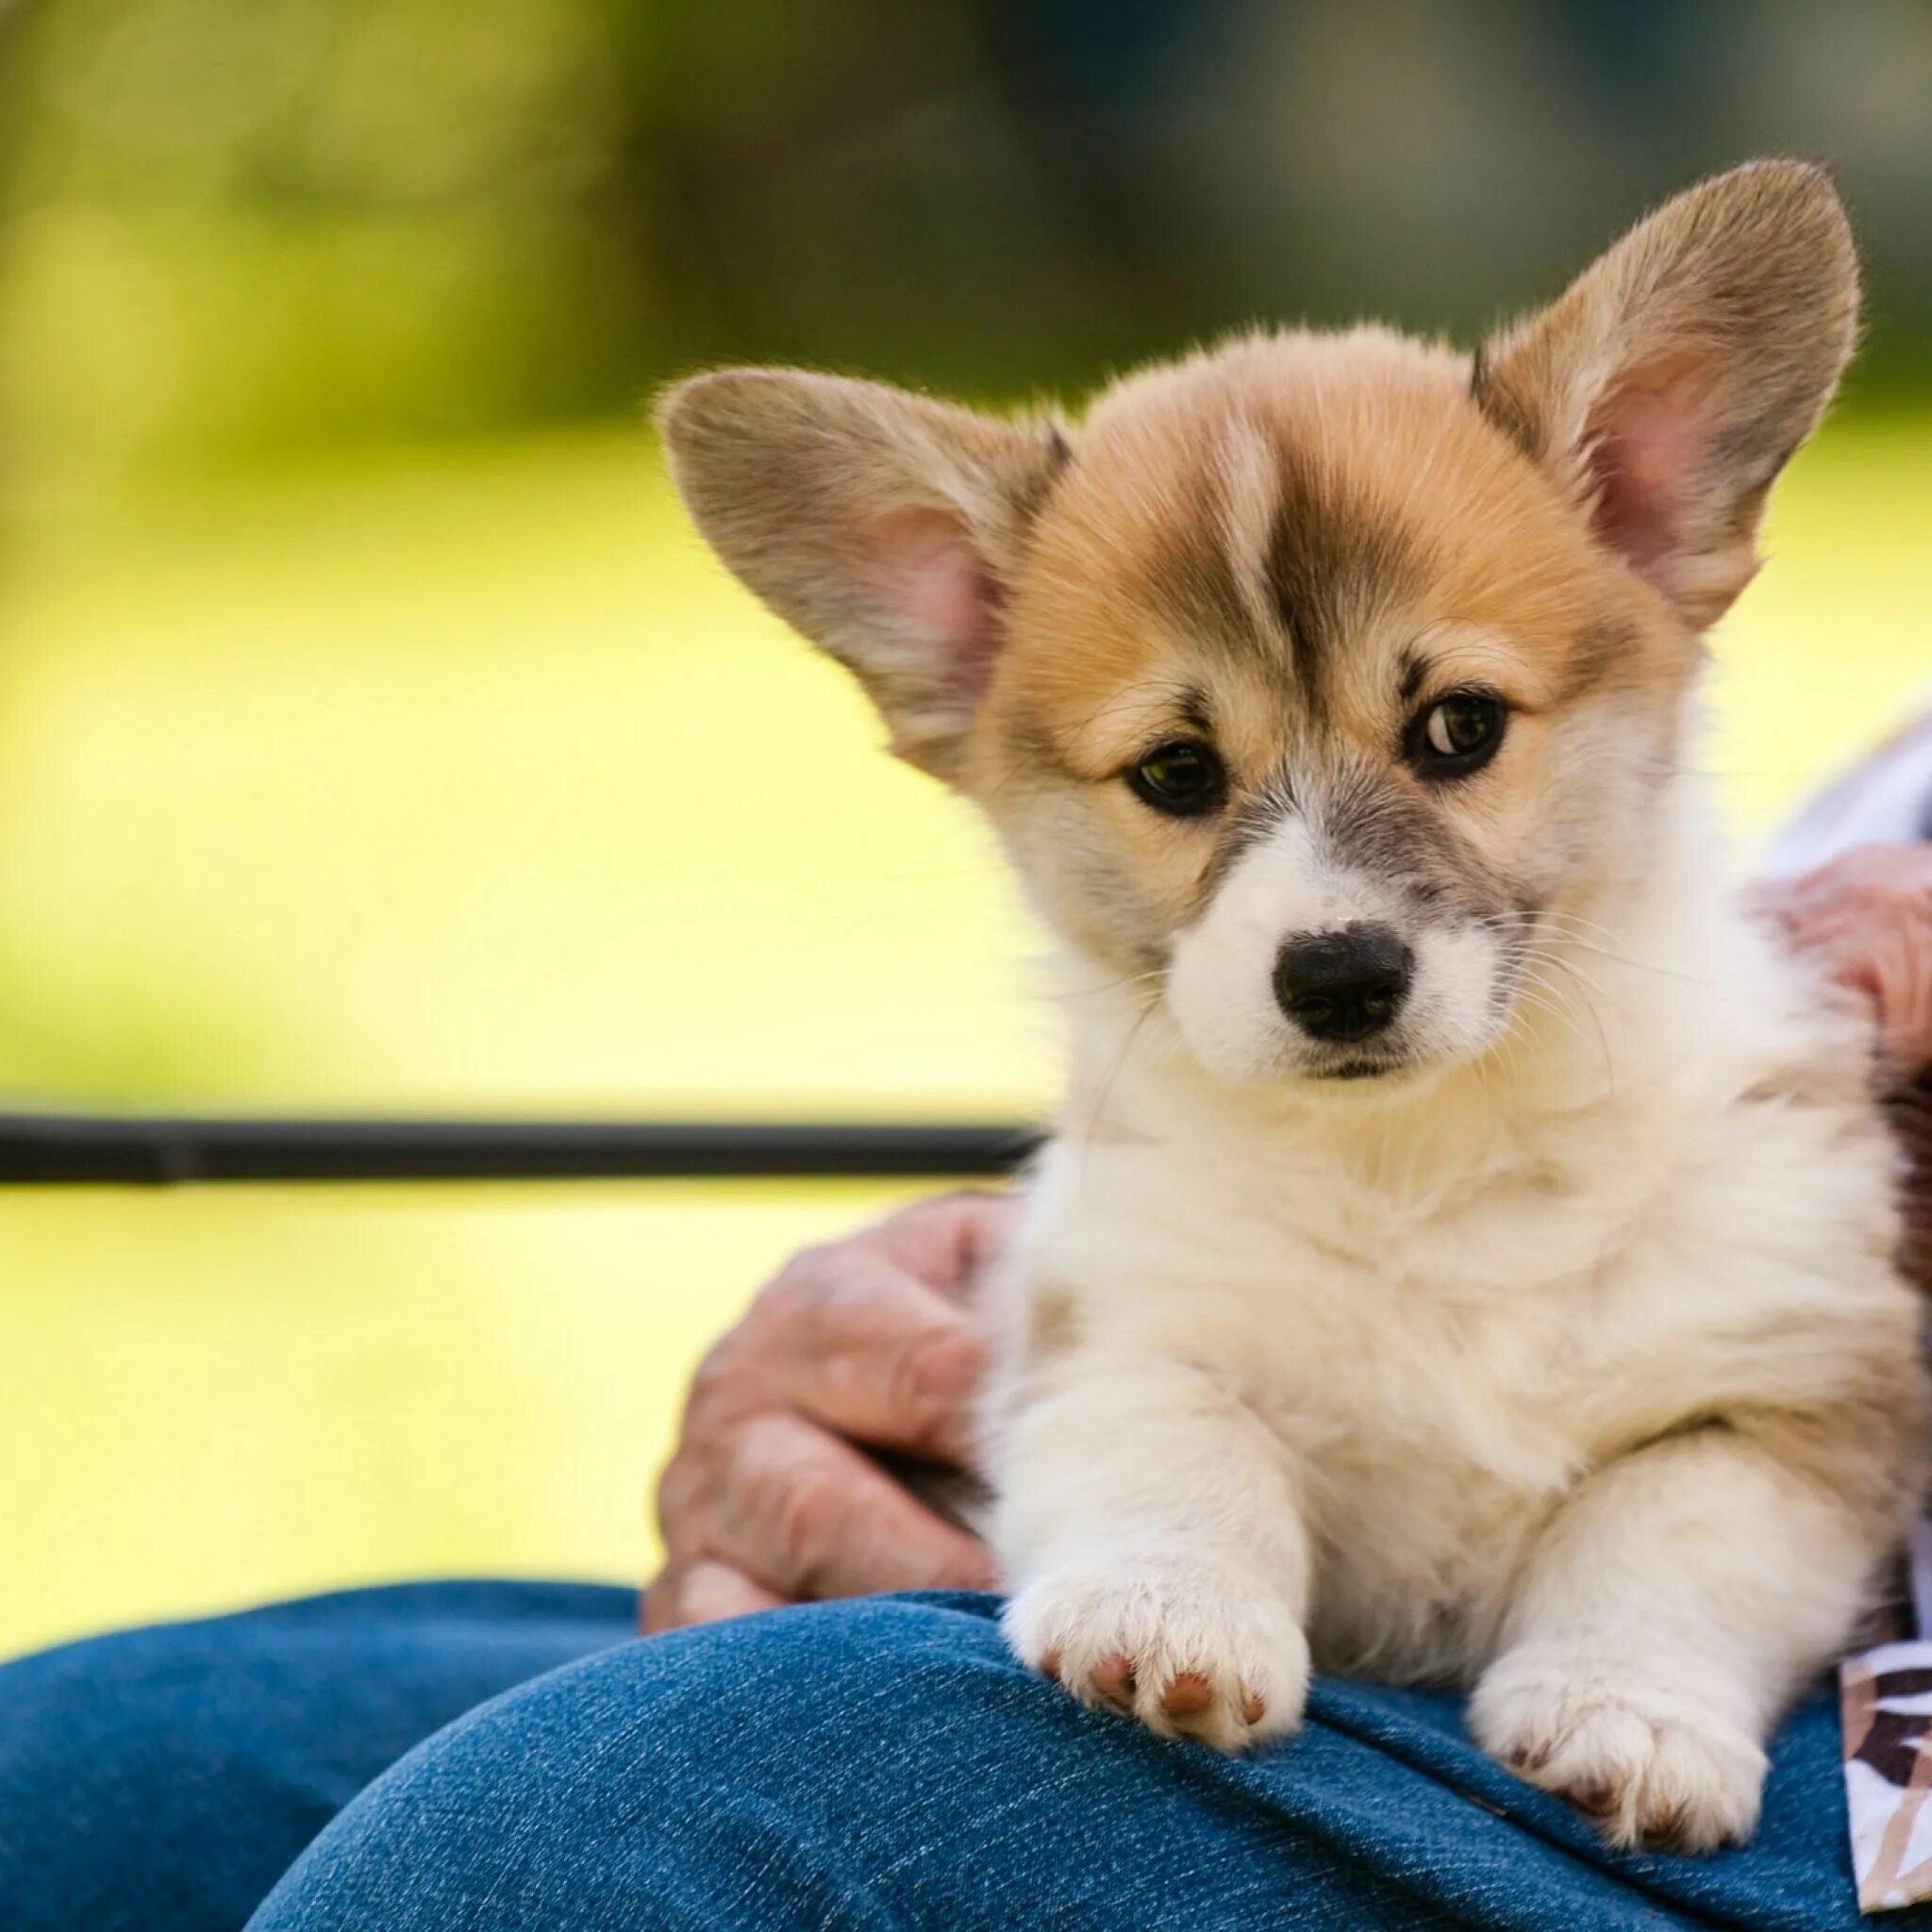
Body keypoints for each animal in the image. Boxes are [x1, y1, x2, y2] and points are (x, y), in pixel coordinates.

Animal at [657, 158, 1924, 1846]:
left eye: (1460, 727)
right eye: (1176, 772)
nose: (1337, 976)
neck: (1427, 1163)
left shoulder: (1782, 1396)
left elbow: (1667, 1540)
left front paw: (1629, 1721)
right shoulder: (1118, 1328)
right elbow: (1183, 1451)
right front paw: (1164, 1621)